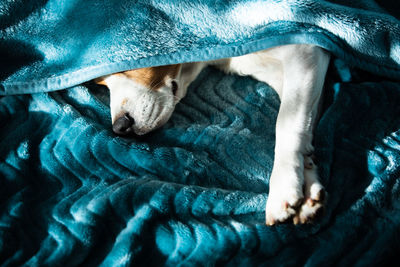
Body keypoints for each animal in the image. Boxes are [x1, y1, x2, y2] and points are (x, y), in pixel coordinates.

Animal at [94, 44, 332, 226]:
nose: (120, 127)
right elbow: (303, 126)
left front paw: (284, 185)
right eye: (100, 83)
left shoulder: (304, 53)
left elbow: (286, 123)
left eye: (126, 66)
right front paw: (307, 184)